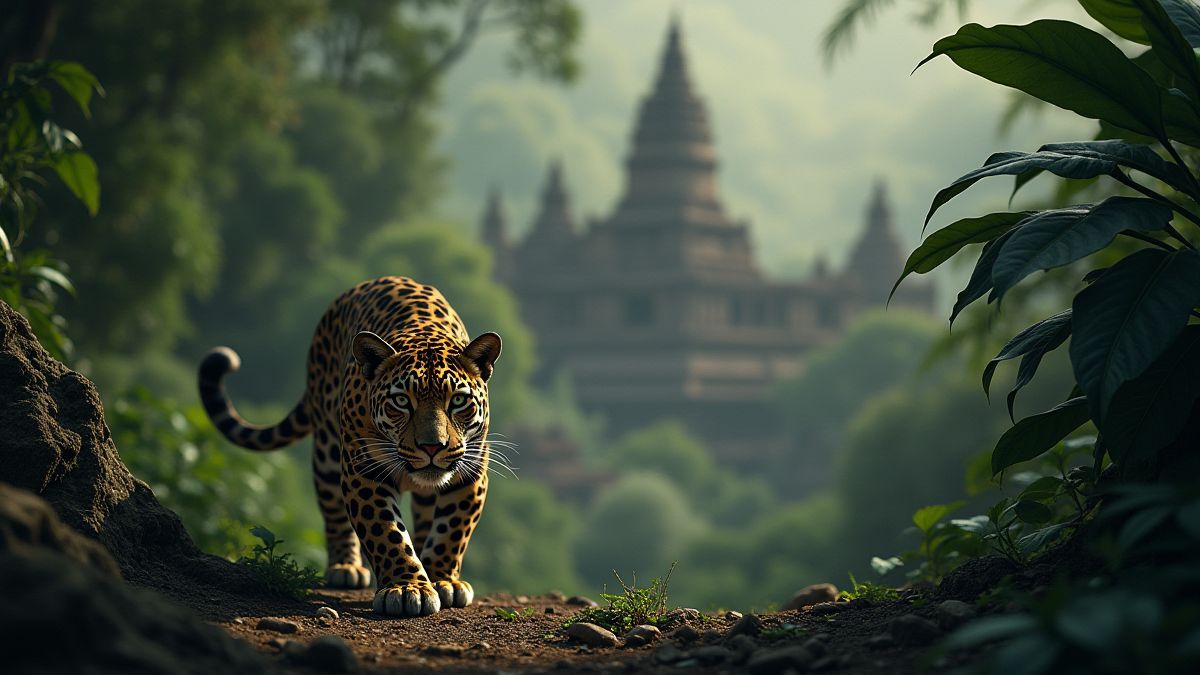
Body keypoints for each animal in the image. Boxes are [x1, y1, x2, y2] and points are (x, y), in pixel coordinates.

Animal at [197, 276, 501, 617]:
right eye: (401, 401)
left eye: (458, 401)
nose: (432, 446)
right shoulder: (364, 472)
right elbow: (386, 533)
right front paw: (407, 587)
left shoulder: (470, 472)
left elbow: (452, 530)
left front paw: (443, 580)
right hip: (328, 453)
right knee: (333, 512)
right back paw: (346, 568)